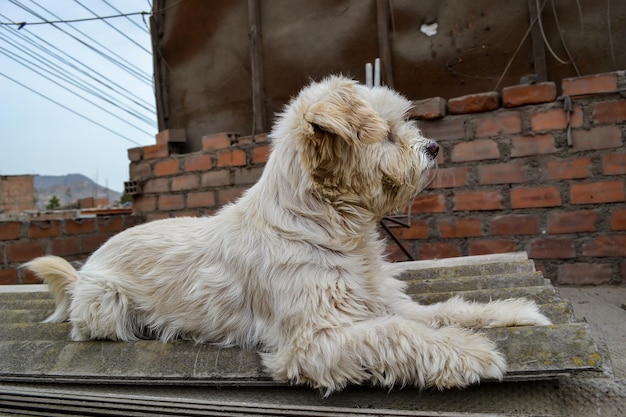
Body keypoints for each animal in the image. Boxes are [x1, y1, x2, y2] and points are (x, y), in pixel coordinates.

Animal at [26, 75, 548, 394]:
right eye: (386, 134)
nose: (434, 147)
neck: (332, 227)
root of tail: (85, 269)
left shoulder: (384, 301)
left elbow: (443, 310)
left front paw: (511, 312)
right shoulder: (315, 339)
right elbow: (401, 333)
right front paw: (471, 352)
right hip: (106, 304)